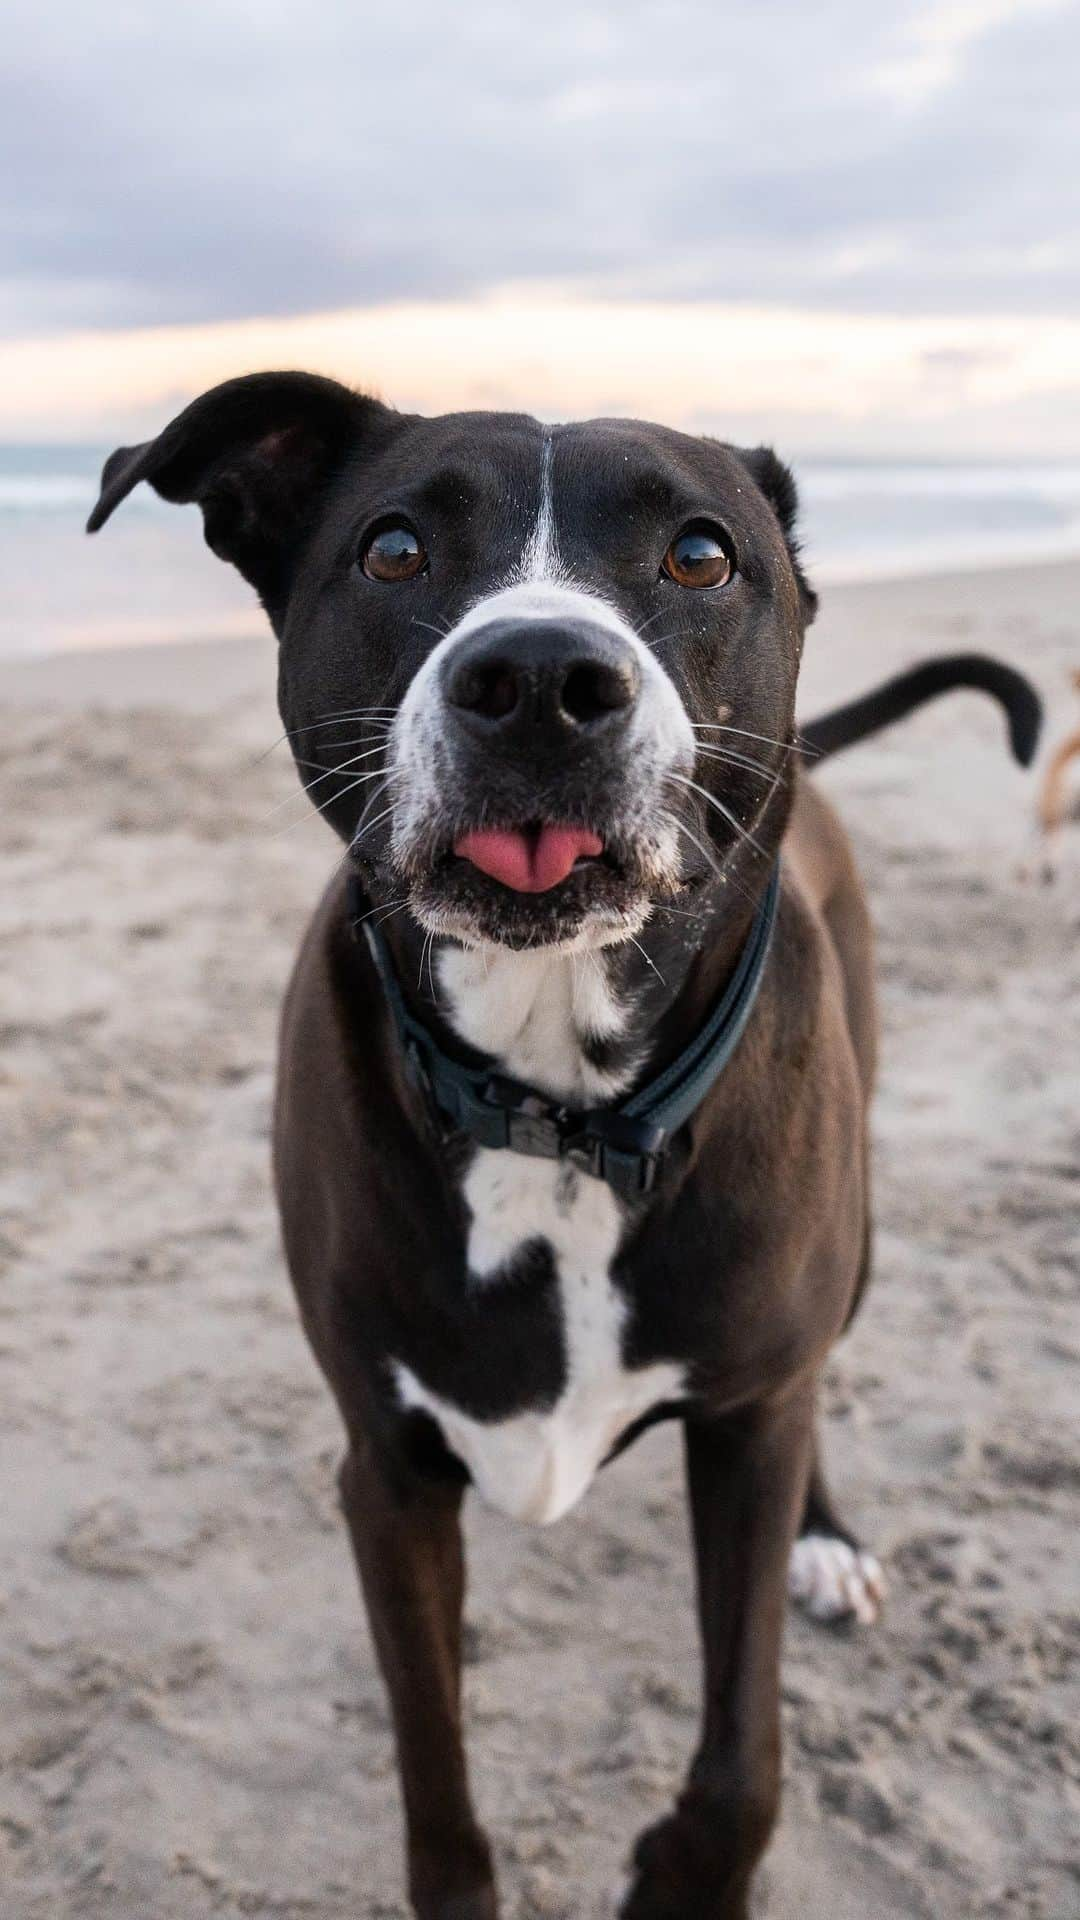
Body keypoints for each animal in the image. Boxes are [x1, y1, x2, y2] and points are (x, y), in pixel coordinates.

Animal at [85, 366, 1037, 1912]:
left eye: (700, 555)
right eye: (394, 549)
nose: (537, 678)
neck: (557, 1114)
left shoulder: (747, 1425)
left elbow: (747, 1750)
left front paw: (685, 1873)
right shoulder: (389, 1474)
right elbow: (434, 1780)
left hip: (851, 1263)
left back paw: (831, 1539)